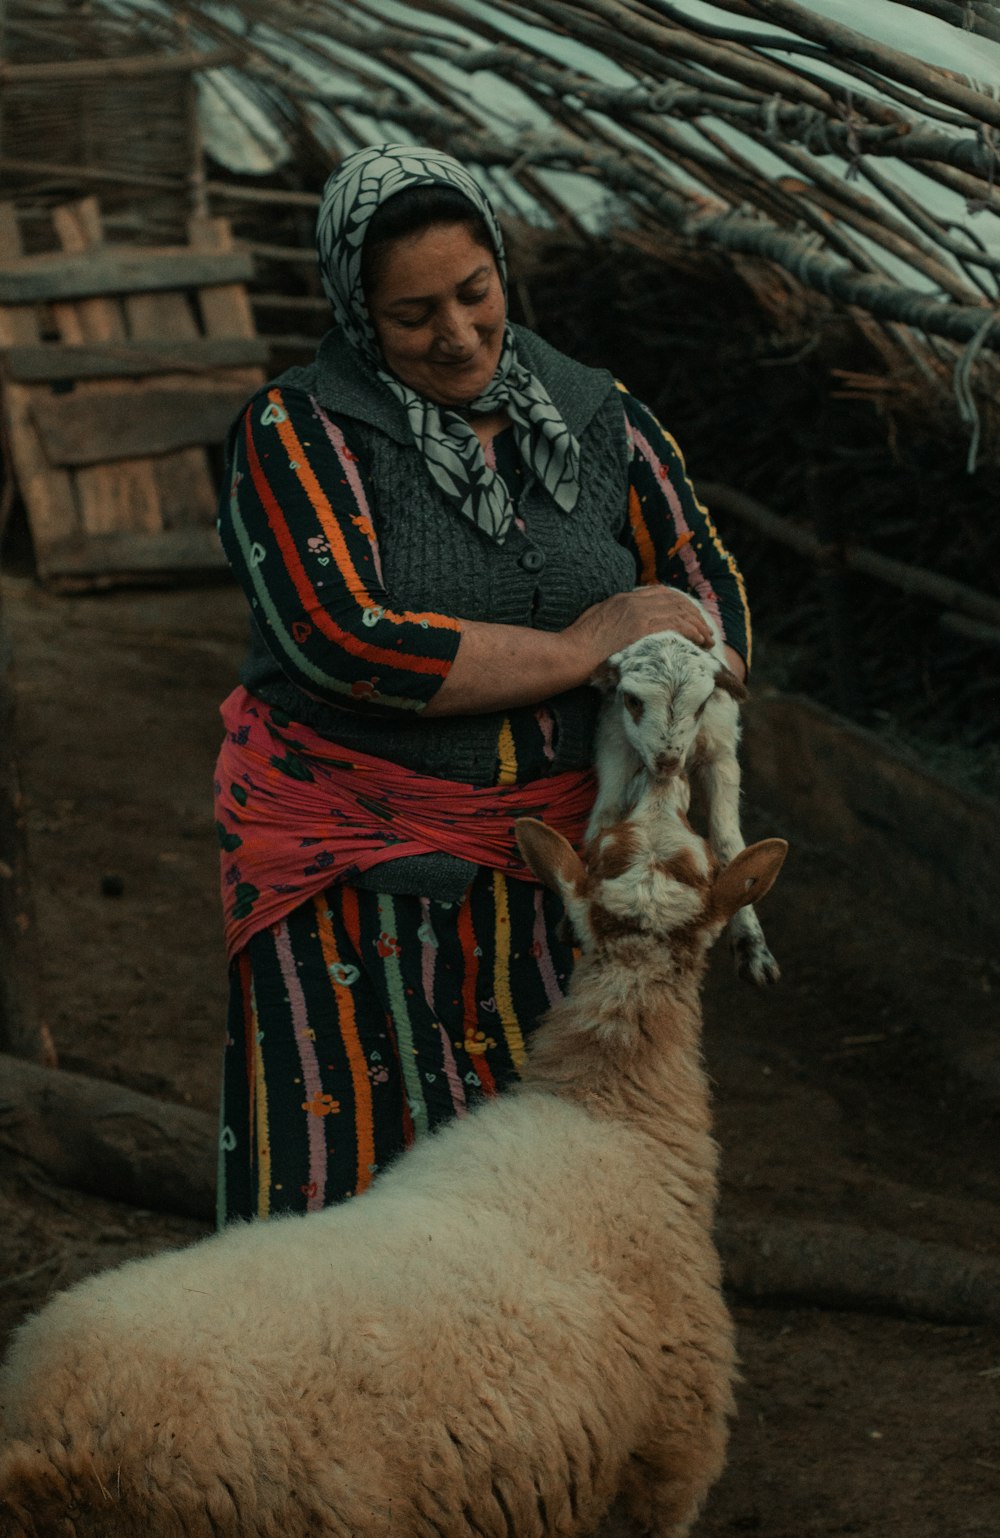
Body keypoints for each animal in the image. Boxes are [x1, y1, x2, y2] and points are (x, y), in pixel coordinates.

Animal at [584, 587, 778, 984]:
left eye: (702, 704)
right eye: (632, 700)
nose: (668, 761)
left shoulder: (721, 754)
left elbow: (729, 844)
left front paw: (753, 947)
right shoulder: (615, 742)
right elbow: (605, 816)